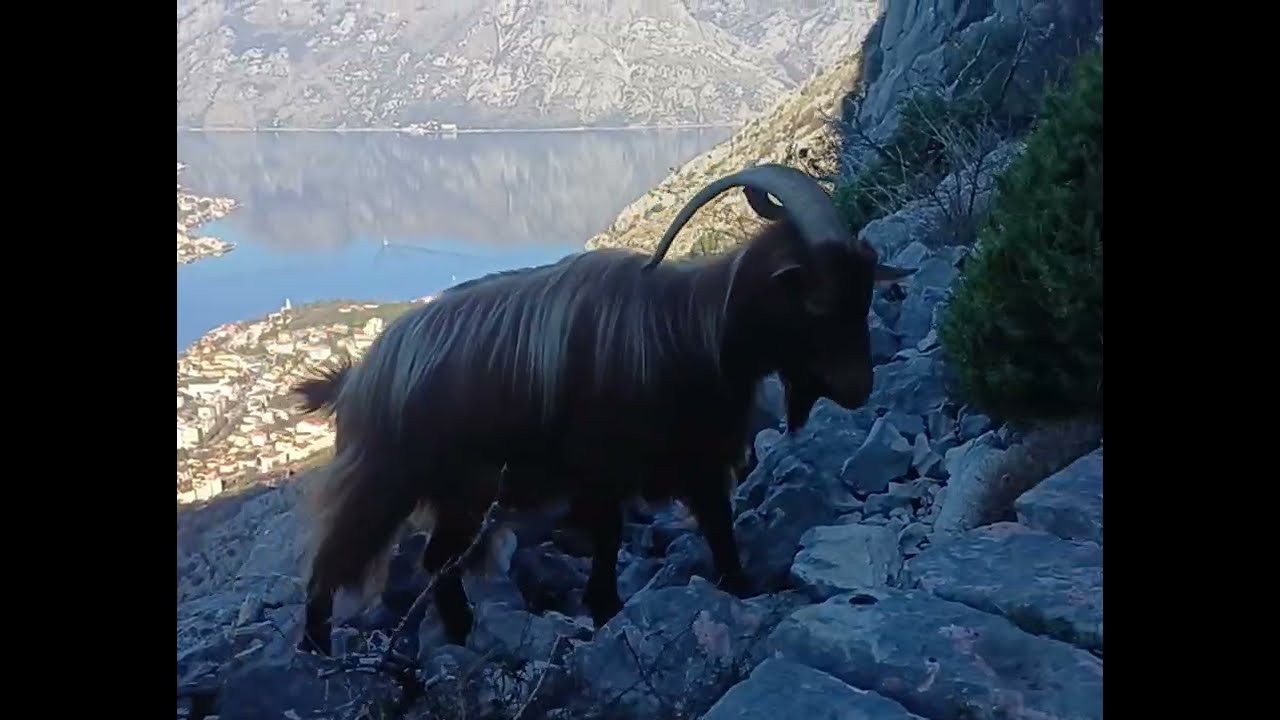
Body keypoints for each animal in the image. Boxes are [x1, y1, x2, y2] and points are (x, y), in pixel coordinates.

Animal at [291, 163, 913, 655]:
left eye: (863, 295)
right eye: (817, 303)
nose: (859, 388)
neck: (693, 331)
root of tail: (358, 376)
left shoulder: (699, 458)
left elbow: (719, 527)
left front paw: (739, 586)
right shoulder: (601, 469)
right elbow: (610, 538)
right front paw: (607, 608)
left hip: (461, 496)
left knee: (438, 561)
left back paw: (463, 630)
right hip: (383, 480)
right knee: (332, 562)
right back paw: (317, 647)